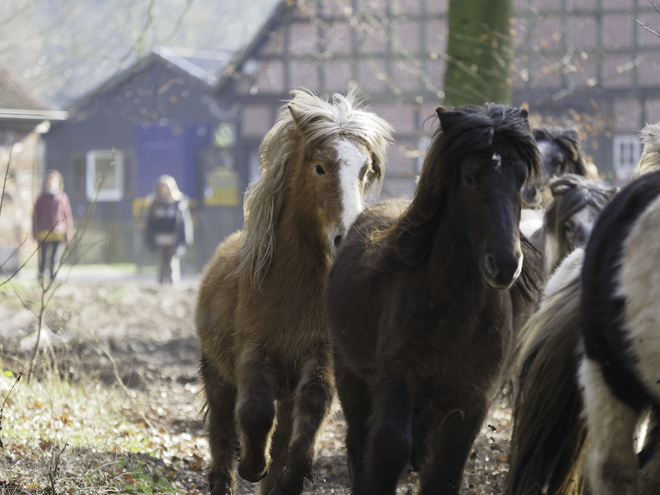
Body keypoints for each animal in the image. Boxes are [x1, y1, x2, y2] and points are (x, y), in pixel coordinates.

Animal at [196, 89, 392, 495]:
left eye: (365, 170)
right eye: (319, 167)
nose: (346, 236)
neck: (292, 288)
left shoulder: (320, 356)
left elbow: (314, 407)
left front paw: (290, 476)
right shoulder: (255, 350)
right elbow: (255, 410)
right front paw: (252, 466)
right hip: (216, 374)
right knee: (221, 432)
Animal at [326, 104, 548, 495]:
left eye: (521, 178)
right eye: (469, 177)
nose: (506, 264)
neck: (455, 311)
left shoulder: (470, 396)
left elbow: (446, 468)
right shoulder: (397, 376)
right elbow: (389, 446)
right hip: (352, 380)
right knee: (358, 442)